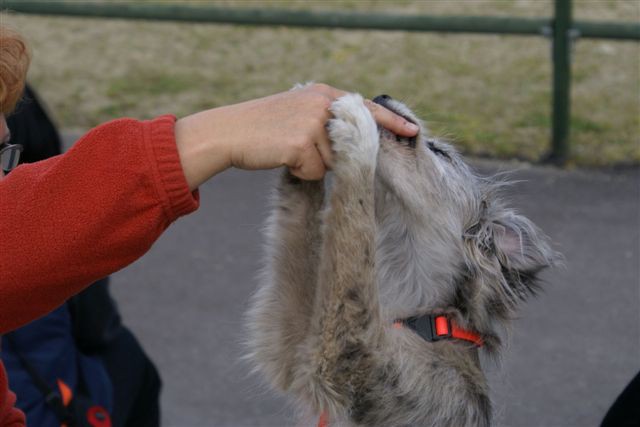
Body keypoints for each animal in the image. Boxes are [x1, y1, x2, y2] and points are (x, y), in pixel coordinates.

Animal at [248, 92, 556, 426]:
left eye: (440, 152)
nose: (382, 96)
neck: (418, 318)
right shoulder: (289, 346)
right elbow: (303, 220)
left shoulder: (343, 355)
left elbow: (357, 229)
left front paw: (359, 129)